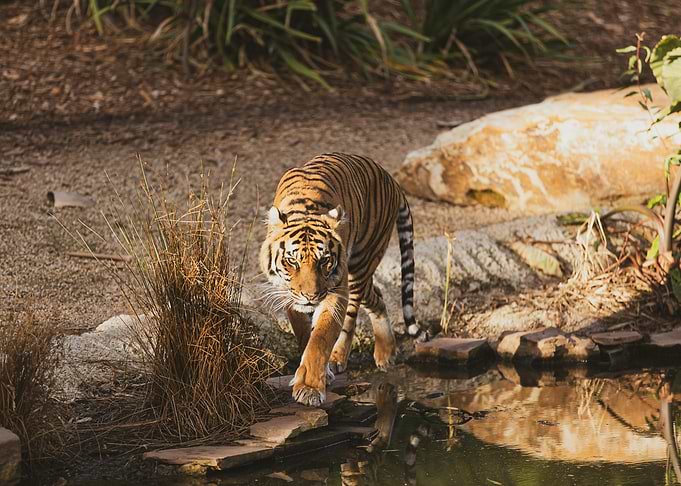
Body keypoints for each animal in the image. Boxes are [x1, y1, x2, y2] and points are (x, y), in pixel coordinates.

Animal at [260, 152, 428, 407]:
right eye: (292, 261)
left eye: (324, 261)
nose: (311, 297)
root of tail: (391, 179)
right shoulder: (288, 295)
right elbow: (304, 334)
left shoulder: (335, 291)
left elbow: (320, 338)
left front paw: (309, 388)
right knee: (378, 296)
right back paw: (384, 353)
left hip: (360, 264)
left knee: (358, 311)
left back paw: (356, 355)